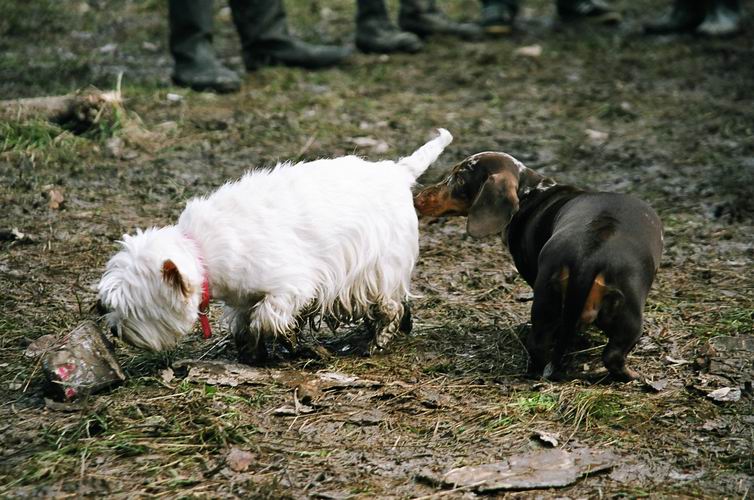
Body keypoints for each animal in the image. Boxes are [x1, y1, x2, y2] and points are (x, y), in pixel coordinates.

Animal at [96, 129, 450, 364]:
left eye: (131, 308)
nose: (113, 330)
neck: (202, 253)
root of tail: (397, 172)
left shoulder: (291, 286)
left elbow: (268, 317)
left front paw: (293, 344)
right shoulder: (243, 297)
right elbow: (244, 323)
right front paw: (253, 351)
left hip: (380, 268)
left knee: (390, 305)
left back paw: (377, 341)